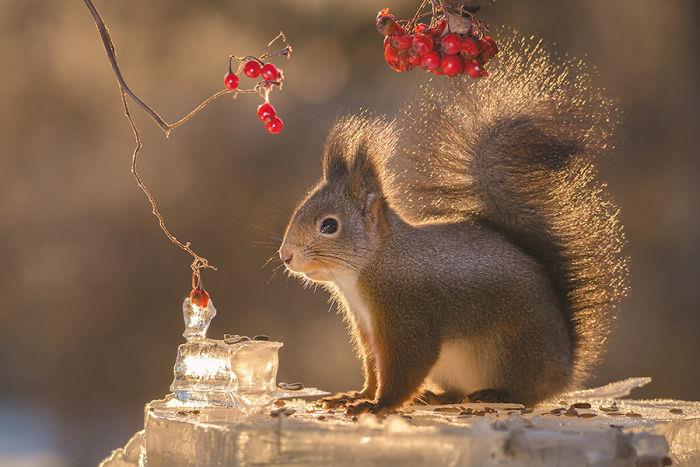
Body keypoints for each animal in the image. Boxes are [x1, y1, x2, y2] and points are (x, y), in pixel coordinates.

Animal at [278, 37, 628, 416]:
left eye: (329, 225)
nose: (286, 256)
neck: (372, 264)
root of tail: (564, 368)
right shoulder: (367, 329)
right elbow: (373, 368)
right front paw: (356, 395)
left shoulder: (407, 314)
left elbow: (406, 365)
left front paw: (376, 405)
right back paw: (439, 396)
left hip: (512, 352)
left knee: (526, 392)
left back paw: (497, 394)